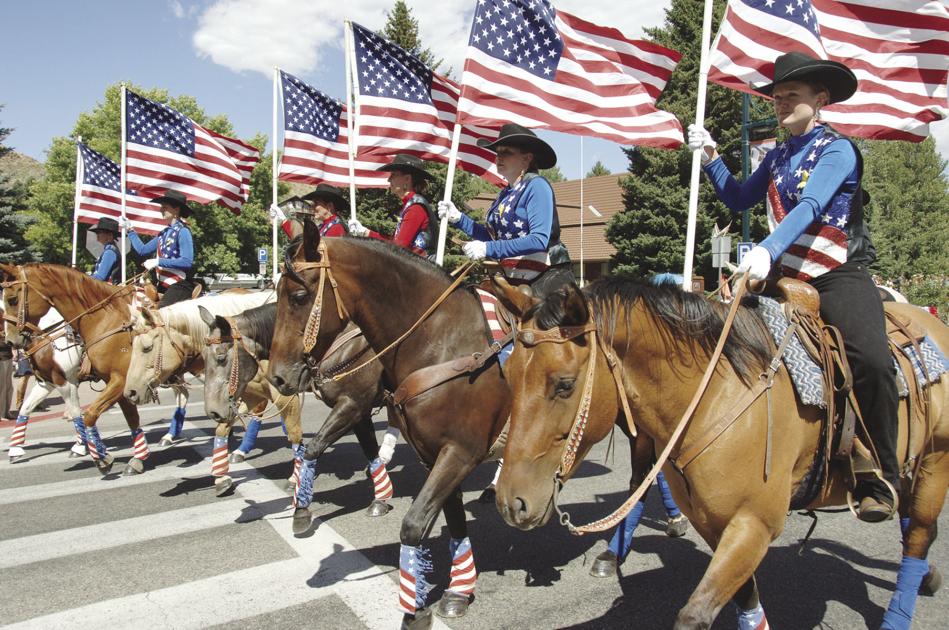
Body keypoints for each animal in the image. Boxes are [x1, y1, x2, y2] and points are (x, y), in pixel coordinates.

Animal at [0, 264, 193, 476]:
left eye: (12, 299)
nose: (11, 341)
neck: (105, 321)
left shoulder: (78, 381)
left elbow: (85, 414)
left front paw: (95, 454)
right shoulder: (50, 381)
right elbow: (26, 409)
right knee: (182, 395)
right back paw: (170, 435)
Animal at [121, 292, 300, 498]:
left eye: (147, 347)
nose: (130, 392)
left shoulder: (284, 396)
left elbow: (294, 432)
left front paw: (295, 479)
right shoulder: (240, 395)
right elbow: (222, 428)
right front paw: (222, 477)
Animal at [198, 302, 394, 520]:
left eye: (221, 357)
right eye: (203, 356)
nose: (213, 411)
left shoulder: (353, 405)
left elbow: (313, 444)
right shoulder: (359, 411)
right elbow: (370, 450)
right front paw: (381, 497)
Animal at [266, 225, 516, 624]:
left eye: (300, 296)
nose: (278, 377)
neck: (441, 341)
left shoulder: (453, 449)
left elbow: (318, 447)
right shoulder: (395, 430)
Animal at [488, 278, 948, 630]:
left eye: (564, 384)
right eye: (508, 374)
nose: (512, 502)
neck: (713, 396)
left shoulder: (753, 523)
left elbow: (695, 615)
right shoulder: (716, 523)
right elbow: (747, 600)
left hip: (934, 463)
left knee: (919, 534)